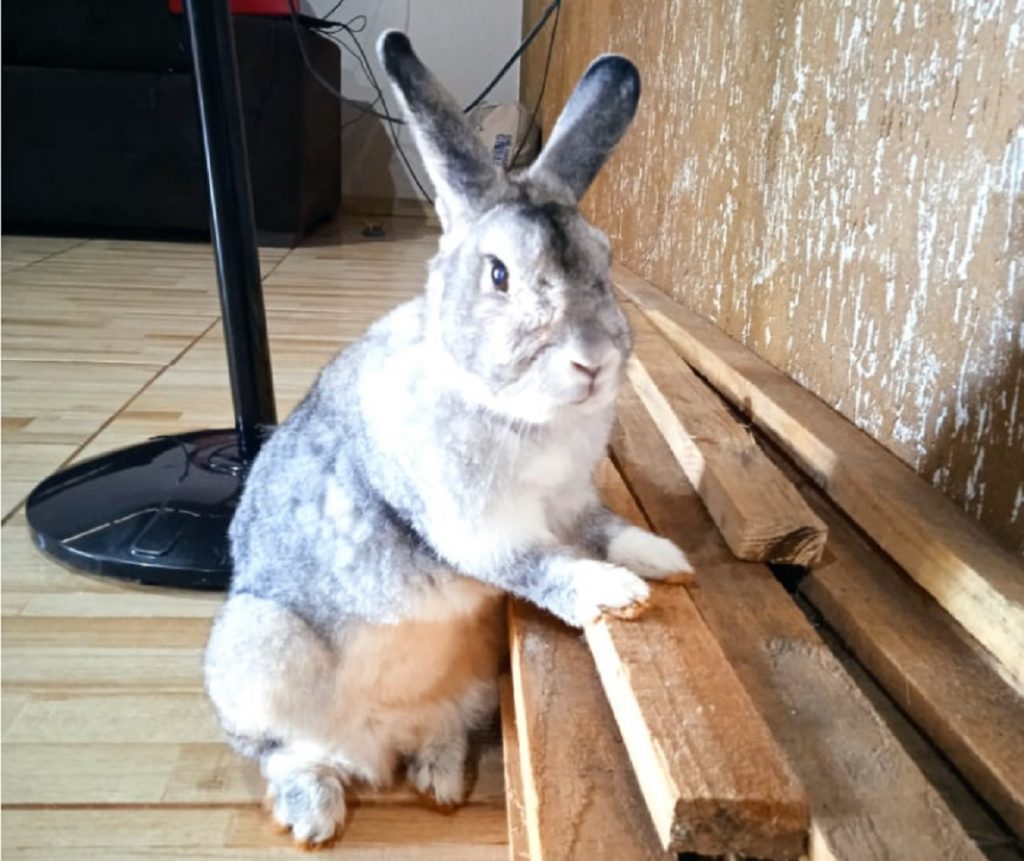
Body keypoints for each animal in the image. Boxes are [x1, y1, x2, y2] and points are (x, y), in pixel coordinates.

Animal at [203, 30, 692, 848]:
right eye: (499, 275)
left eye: (604, 259)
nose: (594, 361)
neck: (525, 414)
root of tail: (375, 747)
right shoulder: (478, 530)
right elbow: (546, 566)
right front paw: (617, 594)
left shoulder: (573, 501)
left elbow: (607, 528)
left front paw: (665, 559)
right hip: (257, 655)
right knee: (284, 754)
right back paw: (317, 813)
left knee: (441, 729)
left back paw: (439, 777)